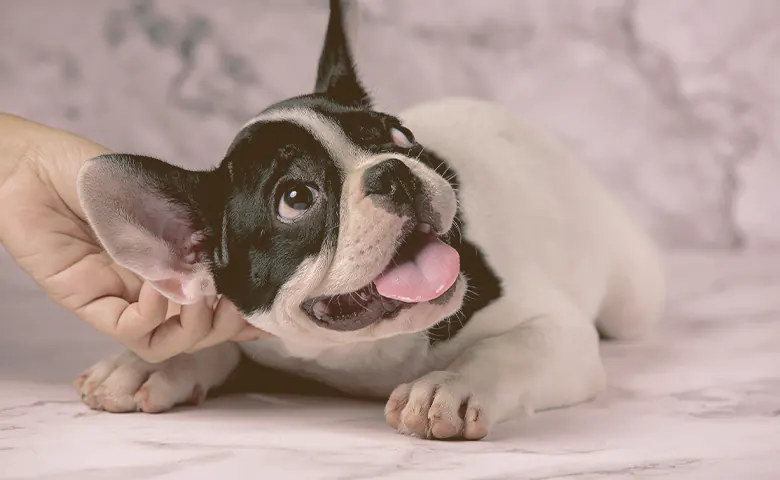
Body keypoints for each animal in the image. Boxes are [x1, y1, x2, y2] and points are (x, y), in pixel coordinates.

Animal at [74, 0, 664, 440]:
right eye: (295, 198)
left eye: (399, 136)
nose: (393, 172)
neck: (365, 353)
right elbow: (214, 342)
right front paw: (148, 363)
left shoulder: (556, 331)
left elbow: (508, 348)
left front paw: (449, 385)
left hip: (631, 297)